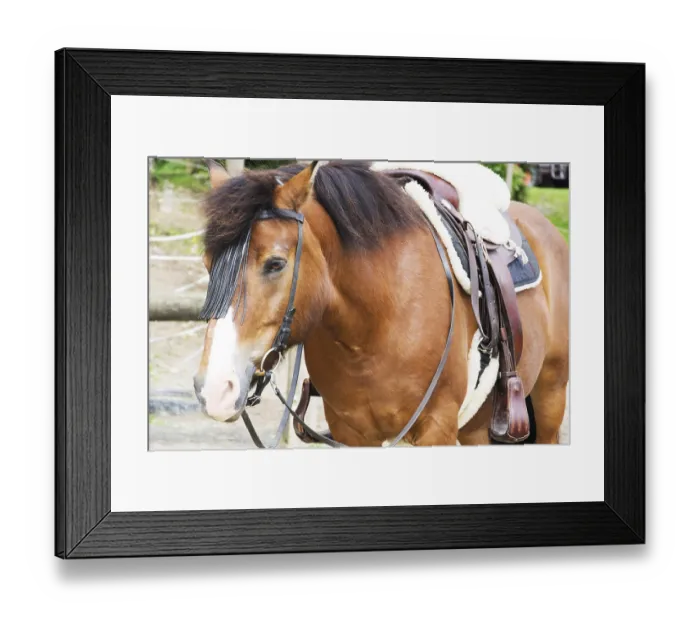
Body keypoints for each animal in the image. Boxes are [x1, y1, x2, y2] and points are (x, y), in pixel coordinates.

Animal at [193, 160, 569, 446]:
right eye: (208, 264)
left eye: (275, 263)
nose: (214, 389)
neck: (374, 325)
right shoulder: (351, 433)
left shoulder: (436, 428)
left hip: (550, 396)